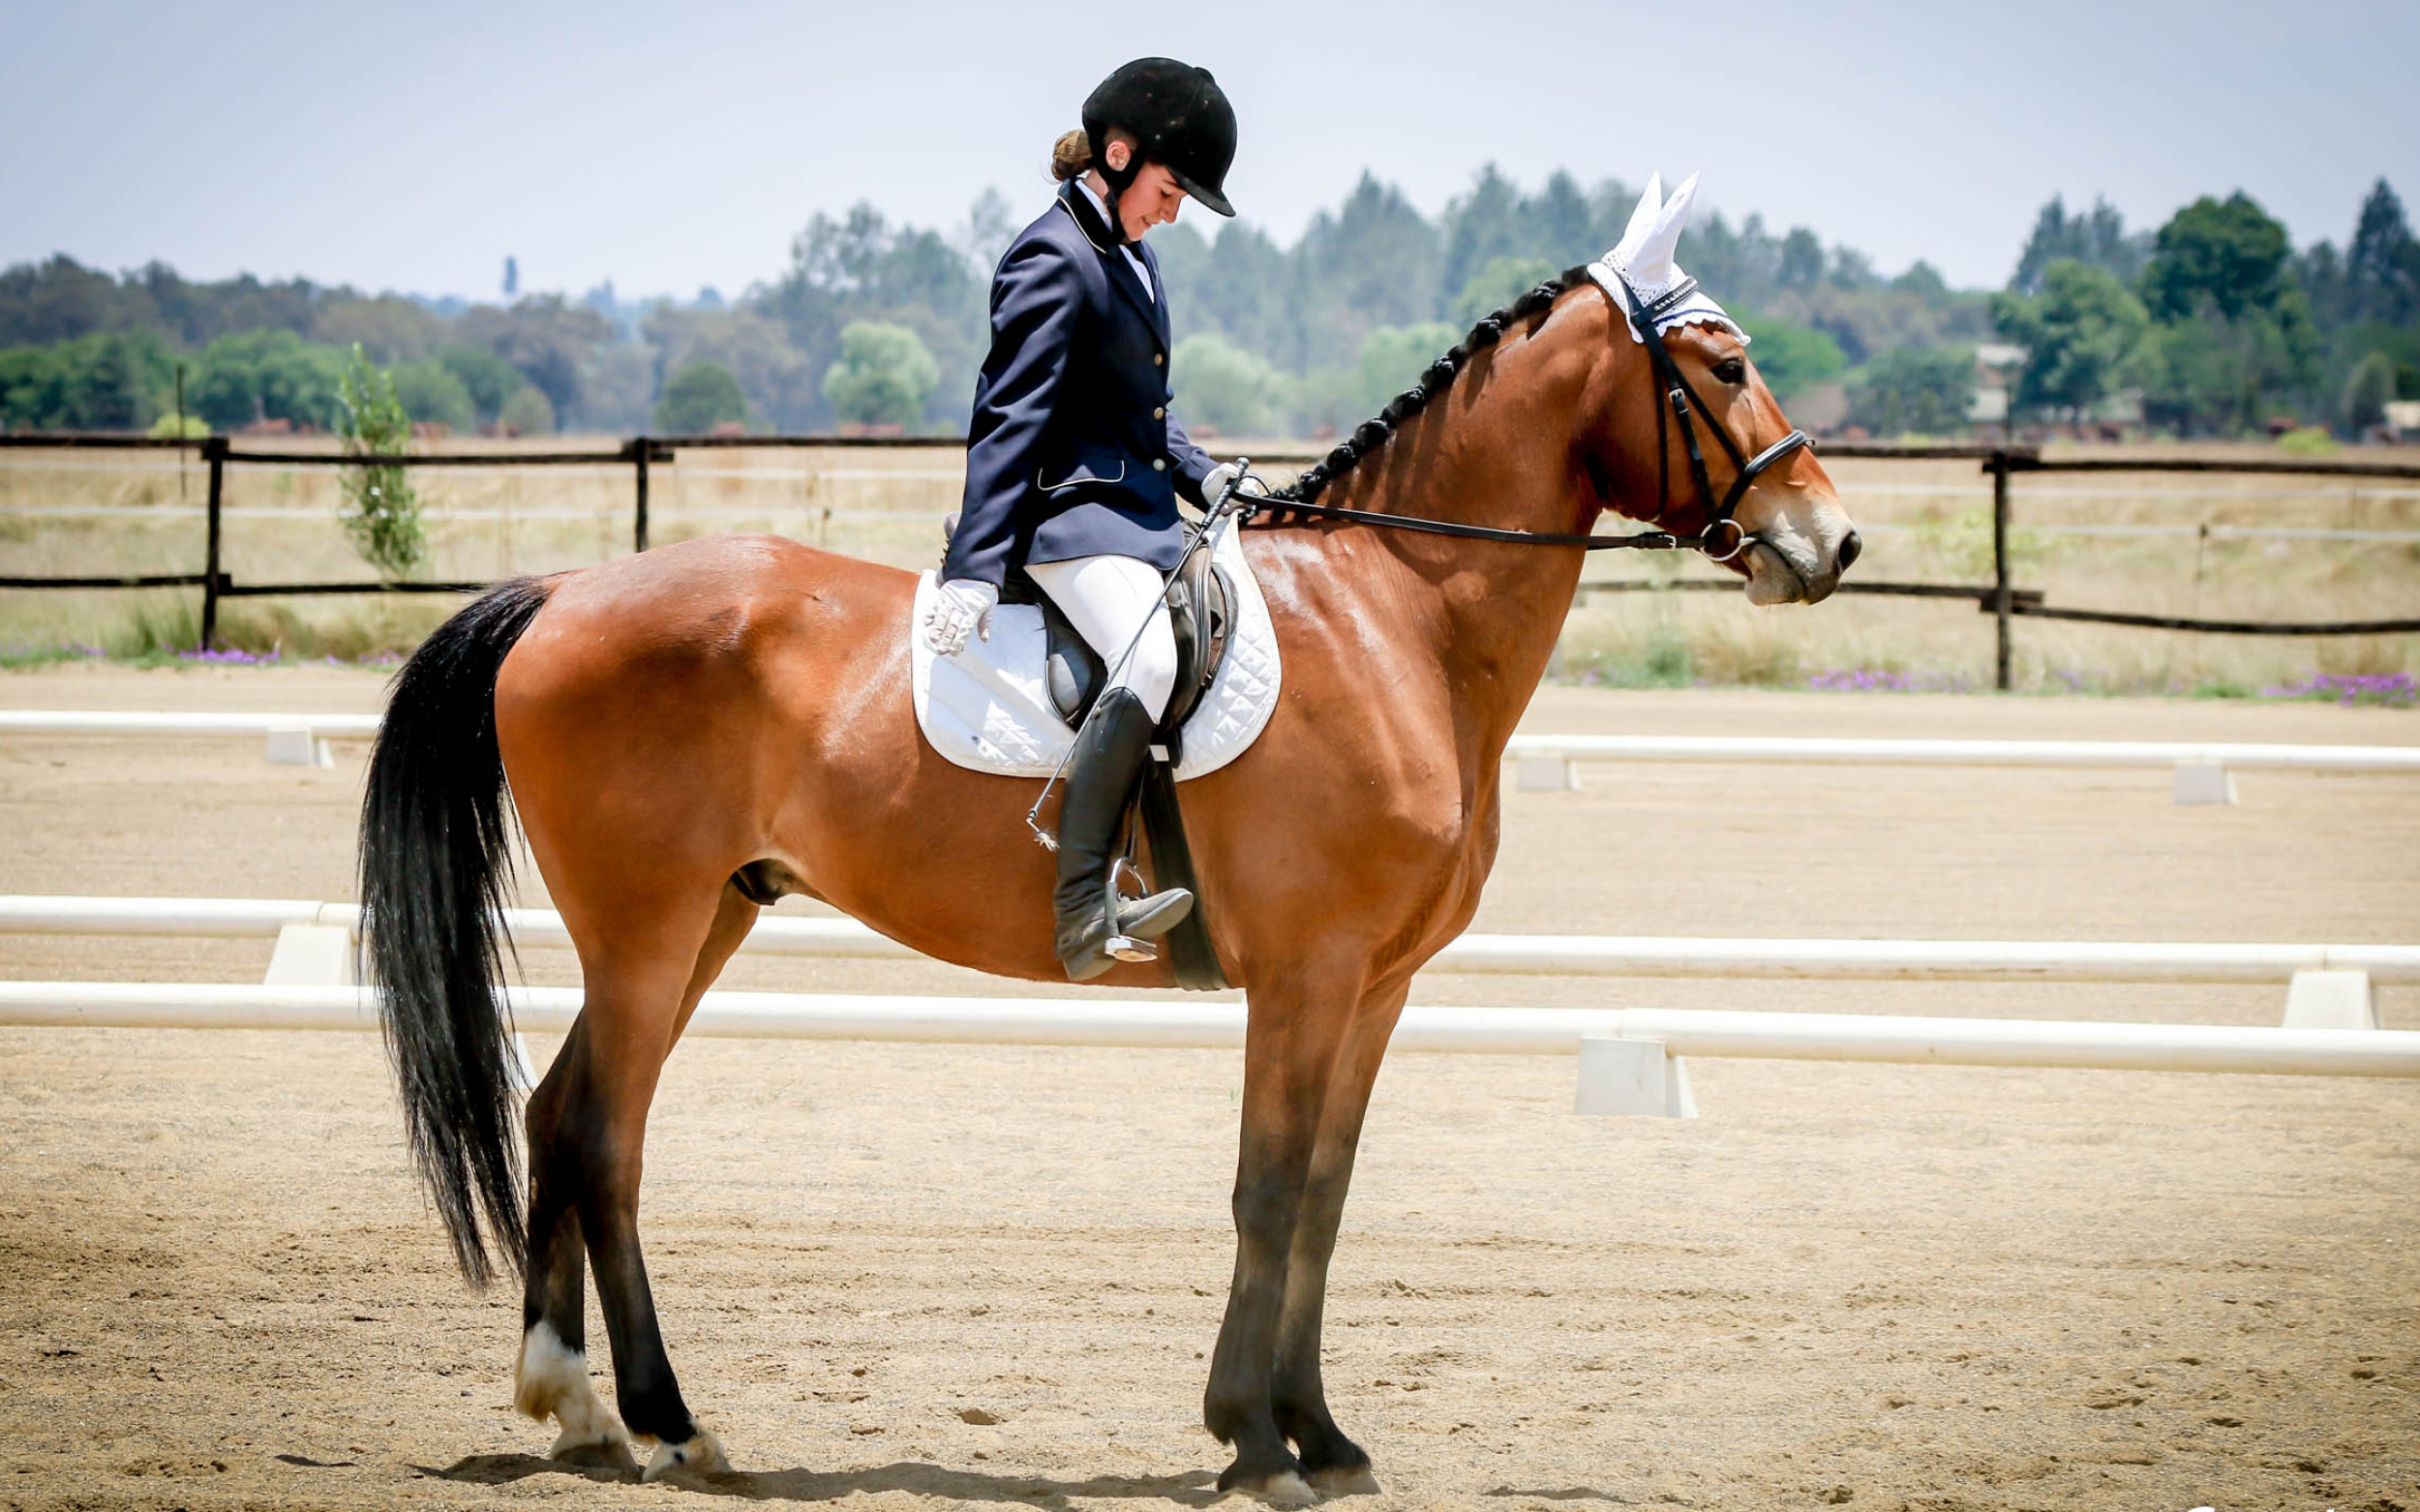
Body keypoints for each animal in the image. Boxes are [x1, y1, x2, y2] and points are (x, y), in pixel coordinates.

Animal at [358, 186, 1859, 1499]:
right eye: (1726, 364)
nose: (1833, 541)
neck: (1396, 617)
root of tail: (565, 592)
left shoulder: (1376, 985)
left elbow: (1325, 1198)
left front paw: (1324, 1435)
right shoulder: (1306, 973)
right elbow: (1267, 1190)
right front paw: (1255, 1441)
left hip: (708, 915)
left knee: (561, 1113)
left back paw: (574, 1408)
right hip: (646, 922)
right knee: (605, 1134)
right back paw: (670, 1423)